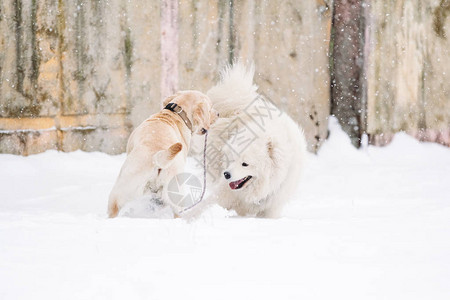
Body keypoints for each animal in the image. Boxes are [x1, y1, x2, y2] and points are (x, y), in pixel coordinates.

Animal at [192, 63, 308, 218]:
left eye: (245, 164)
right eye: (232, 158)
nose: (226, 174)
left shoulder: (272, 206)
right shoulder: (227, 191)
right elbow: (206, 204)